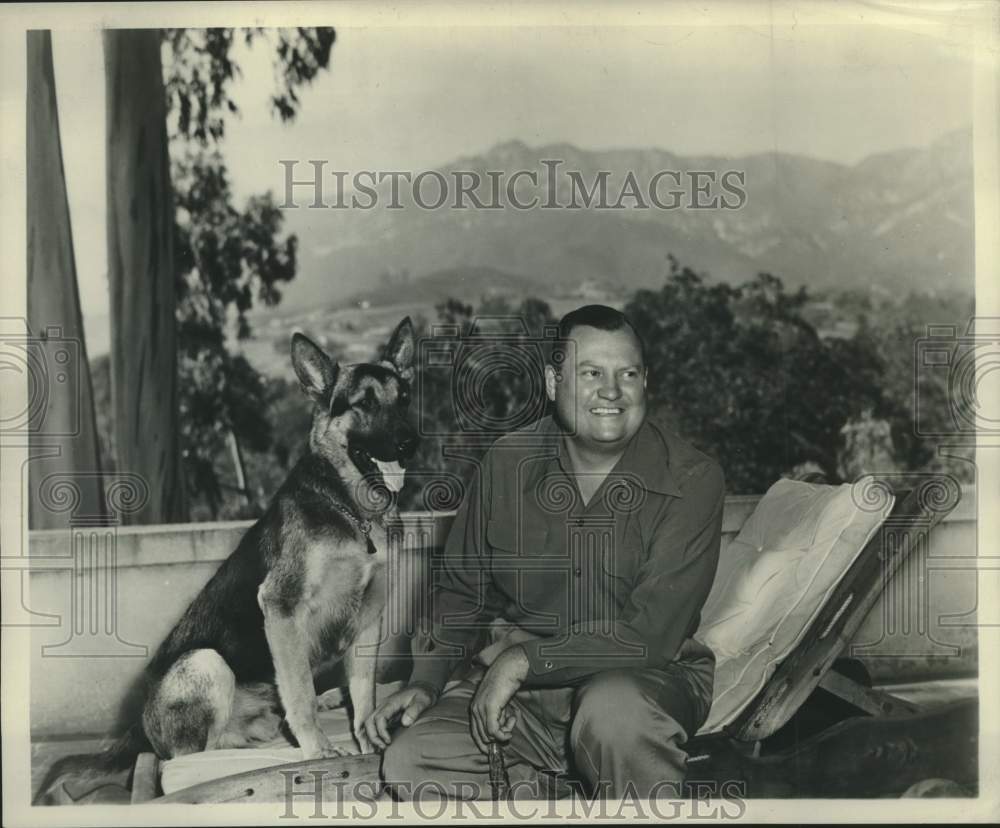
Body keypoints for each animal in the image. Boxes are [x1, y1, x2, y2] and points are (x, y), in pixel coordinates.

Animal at [35, 316, 418, 804]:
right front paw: (318, 748)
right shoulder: (281, 607)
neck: (350, 510)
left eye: (403, 398)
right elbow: (298, 692)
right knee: (196, 754)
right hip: (206, 662)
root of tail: (139, 728)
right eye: (364, 403)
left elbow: (363, 690)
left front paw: (366, 732)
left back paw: (323, 701)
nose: (409, 443)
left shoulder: (368, 618)